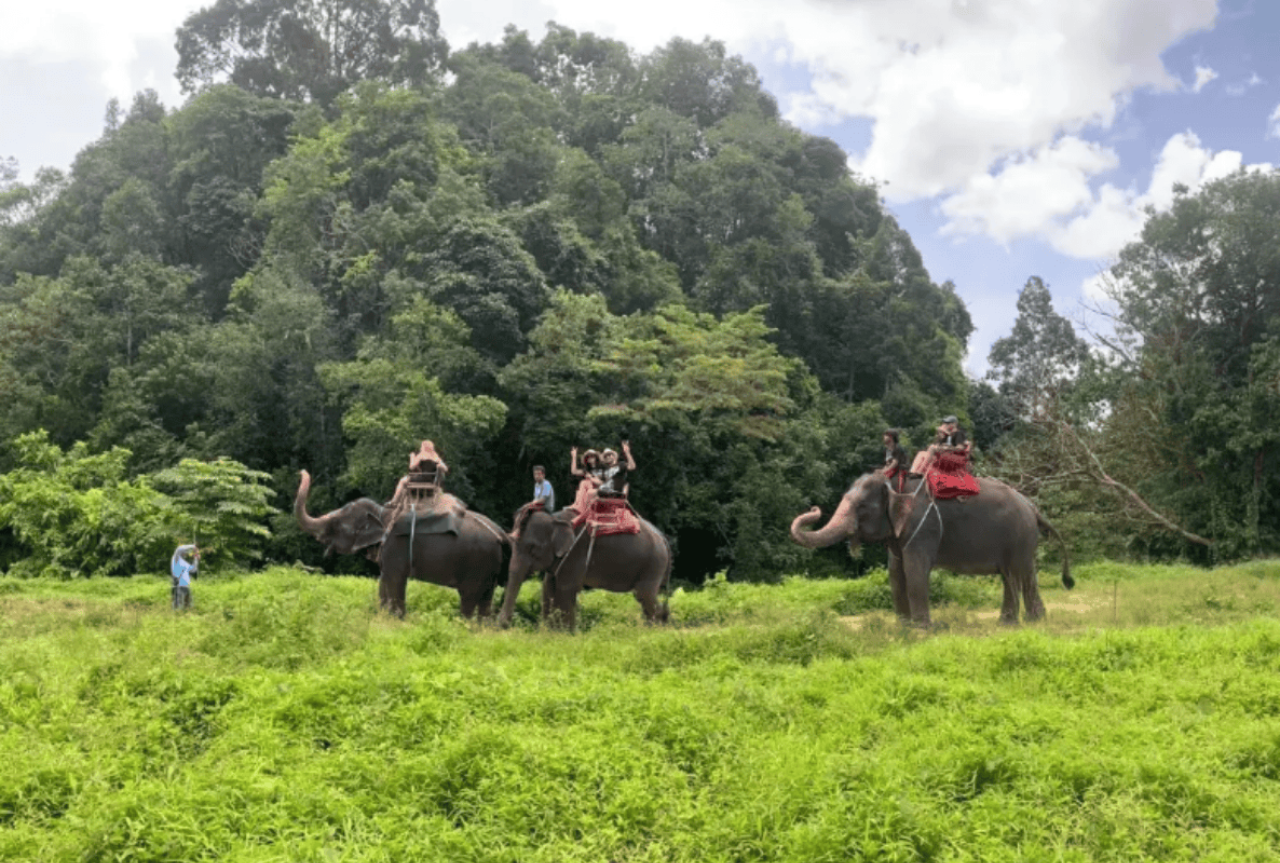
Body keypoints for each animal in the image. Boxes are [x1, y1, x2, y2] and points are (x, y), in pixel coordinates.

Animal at [294, 470, 509, 618]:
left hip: (478, 563)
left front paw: (397, 620)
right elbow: (383, 580)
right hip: (489, 567)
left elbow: (395, 579)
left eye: (337, 524)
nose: (301, 471)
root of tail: (501, 535)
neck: (382, 513)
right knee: (486, 599)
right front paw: (382, 616)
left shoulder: (395, 547)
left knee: (469, 598)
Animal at [497, 507, 673, 630]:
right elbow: (548, 588)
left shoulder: (576, 553)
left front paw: (564, 636)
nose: (503, 624)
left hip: (653, 563)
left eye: (533, 549)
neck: (555, 519)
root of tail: (662, 538)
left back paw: (656, 631)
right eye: (511, 542)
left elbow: (565, 590)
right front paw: (548, 633)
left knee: (644, 595)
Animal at [790, 471, 1072, 626]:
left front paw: (922, 629)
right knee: (1013, 576)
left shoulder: (922, 527)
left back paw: (1031, 623)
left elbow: (915, 571)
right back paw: (1012, 624)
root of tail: (1033, 507)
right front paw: (903, 628)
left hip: (1020, 536)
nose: (814, 509)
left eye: (861, 507)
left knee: (1020, 573)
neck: (895, 481)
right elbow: (896, 574)